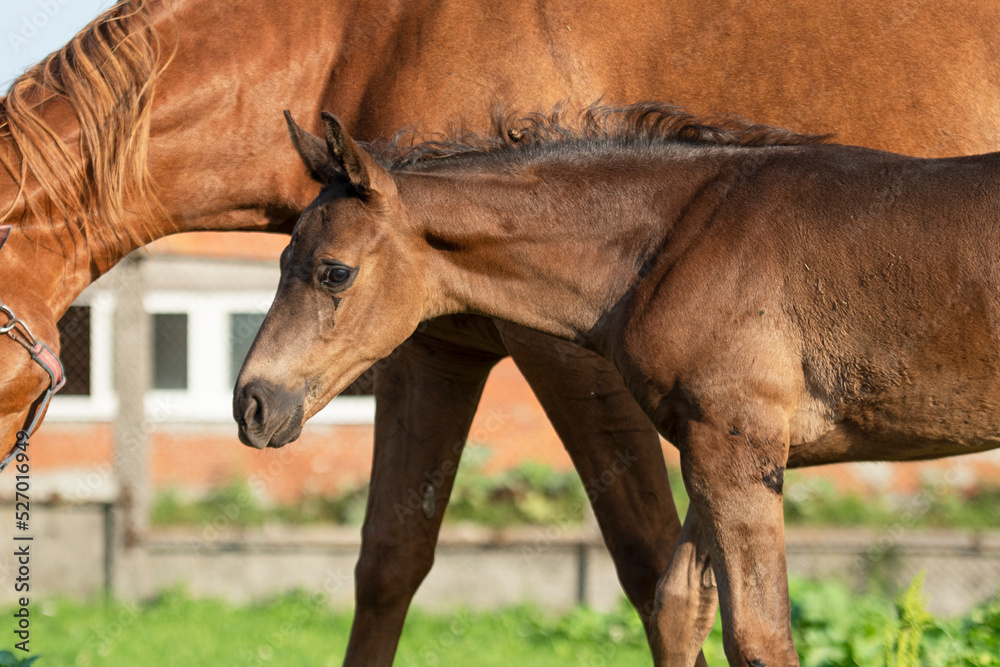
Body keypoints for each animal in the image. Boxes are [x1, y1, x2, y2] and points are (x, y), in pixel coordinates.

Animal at [236, 104, 1000, 665]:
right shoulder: (708, 446)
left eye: (334, 271)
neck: (682, 238)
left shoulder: (736, 448)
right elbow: (679, 609)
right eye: (279, 257)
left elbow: (759, 636)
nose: (252, 403)